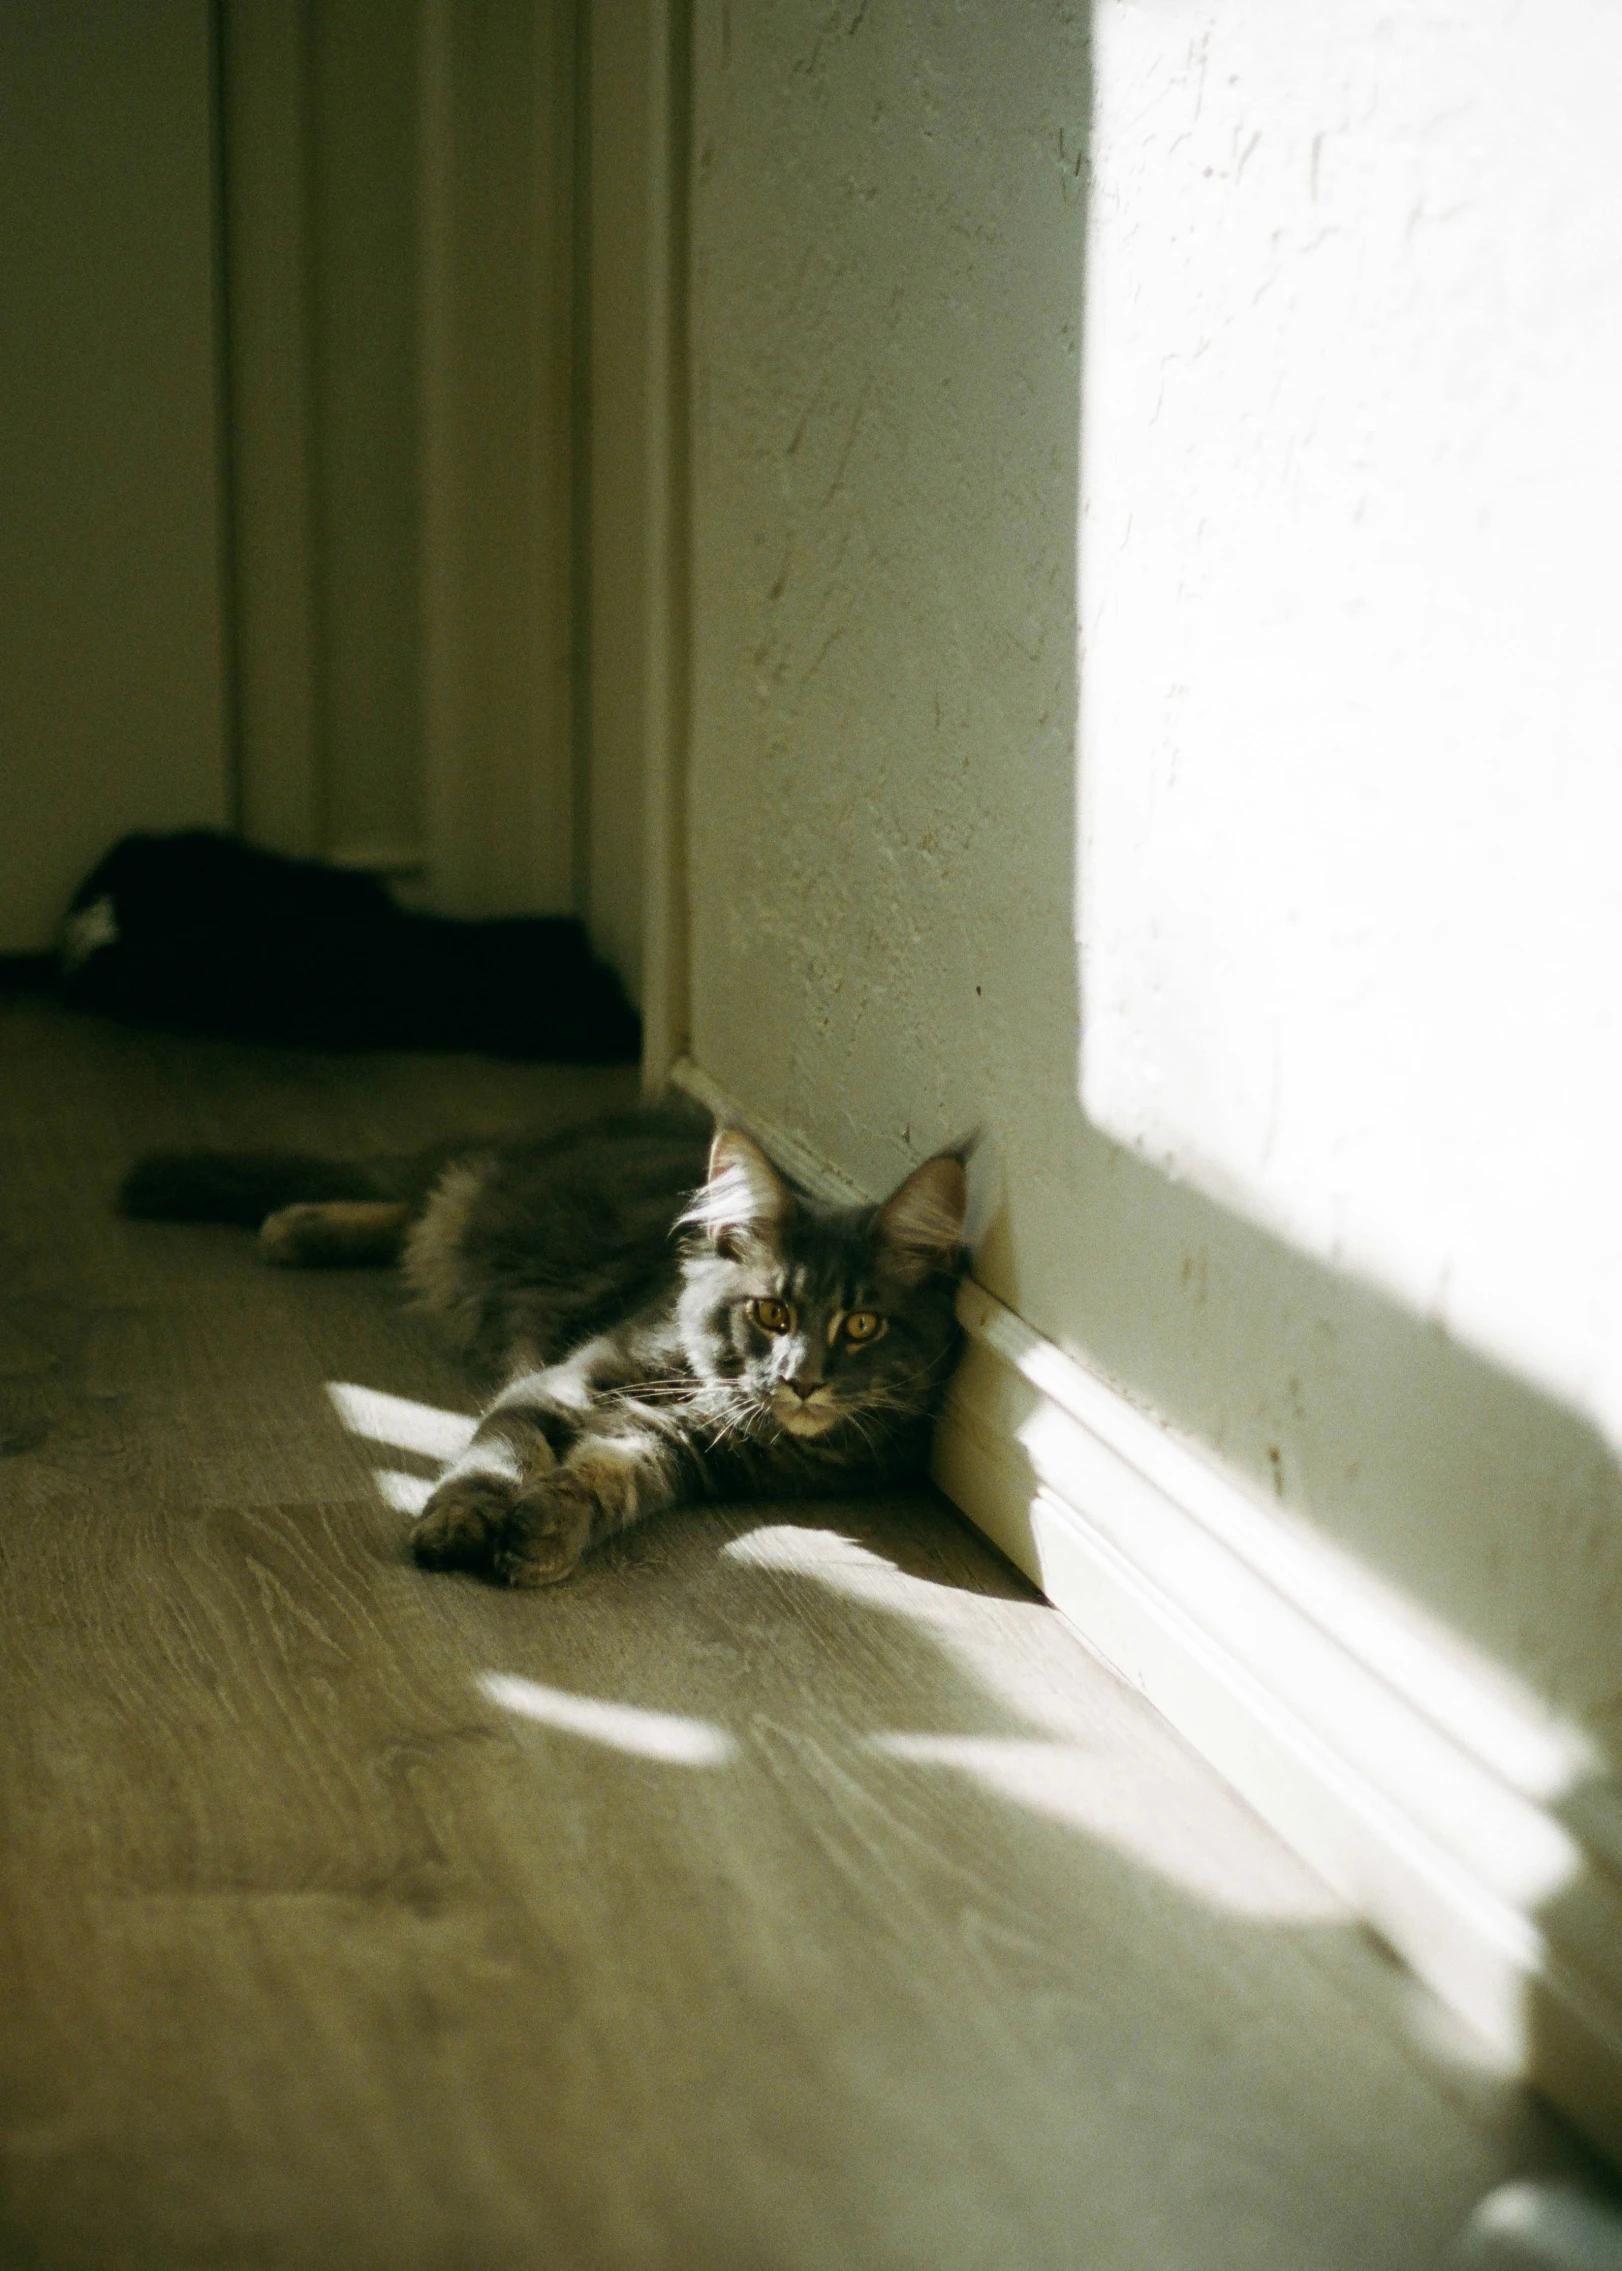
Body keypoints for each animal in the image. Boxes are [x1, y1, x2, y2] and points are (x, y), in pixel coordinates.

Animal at [123, 1108, 972, 1589]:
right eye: (772, 1312)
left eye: (861, 1326)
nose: (800, 1380)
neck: (712, 1397)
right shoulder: (569, 1381)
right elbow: (496, 1459)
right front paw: (460, 1525)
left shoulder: (668, 1448)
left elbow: (597, 1485)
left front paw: (541, 1535)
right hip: (471, 1198)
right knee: (411, 1196)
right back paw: (292, 1225)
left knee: (412, 1212)